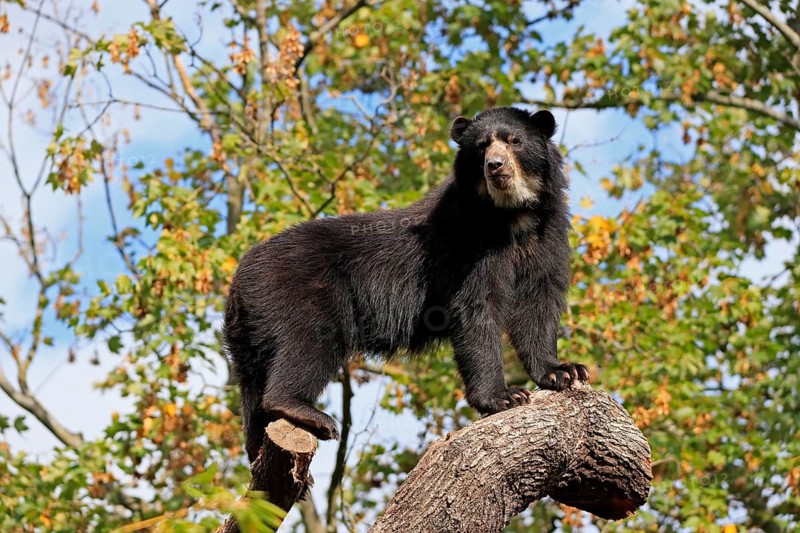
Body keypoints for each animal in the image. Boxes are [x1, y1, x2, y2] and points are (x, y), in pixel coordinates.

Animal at [223, 106, 589, 462]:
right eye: (481, 146)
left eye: (514, 141)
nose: (495, 165)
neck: (511, 216)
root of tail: (240, 277)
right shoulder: (468, 247)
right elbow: (476, 309)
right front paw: (505, 396)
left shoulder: (547, 236)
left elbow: (538, 303)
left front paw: (564, 372)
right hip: (301, 292)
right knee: (309, 343)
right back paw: (307, 412)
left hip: (251, 335)